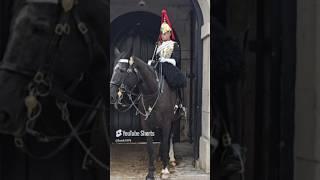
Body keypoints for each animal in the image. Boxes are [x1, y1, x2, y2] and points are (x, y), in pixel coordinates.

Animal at [109, 48, 180, 180]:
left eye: (121, 70)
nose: (111, 96)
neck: (153, 93)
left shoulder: (166, 123)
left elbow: (165, 144)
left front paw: (165, 170)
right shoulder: (146, 125)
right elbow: (150, 148)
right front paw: (151, 173)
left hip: (175, 120)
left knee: (170, 138)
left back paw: (171, 159)